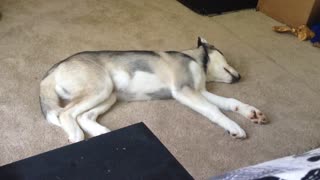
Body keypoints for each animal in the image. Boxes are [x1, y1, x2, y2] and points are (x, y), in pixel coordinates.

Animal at [39, 37, 268, 143]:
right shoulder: (184, 91)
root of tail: (53, 69)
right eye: (224, 55)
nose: (240, 77)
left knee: (83, 116)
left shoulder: (200, 92)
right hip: (101, 88)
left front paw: (251, 112)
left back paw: (104, 134)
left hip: (109, 95)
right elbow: (215, 110)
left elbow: (230, 102)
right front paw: (234, 127)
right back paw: (76, 136)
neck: (193, 58)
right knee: (66, 114)